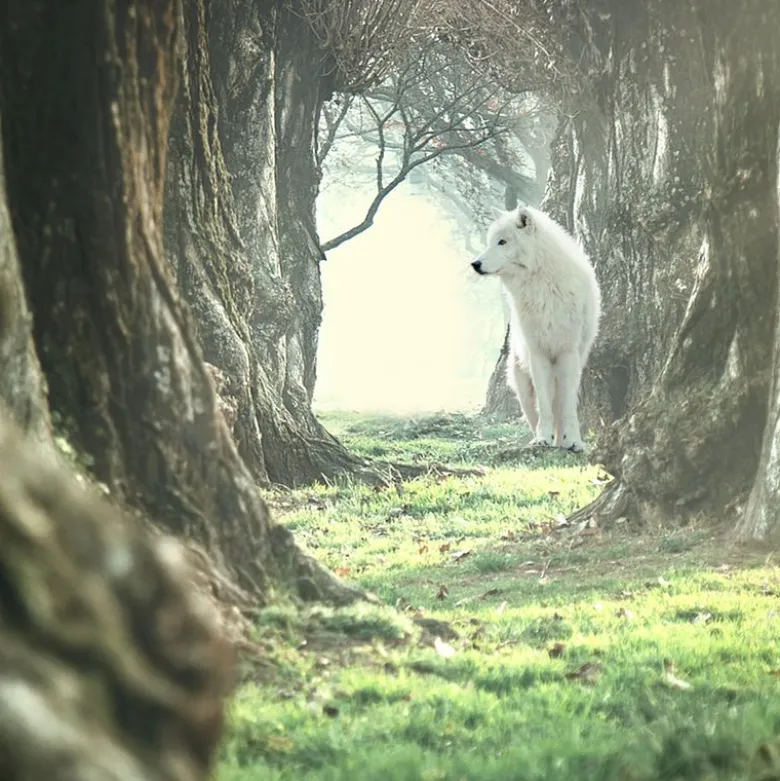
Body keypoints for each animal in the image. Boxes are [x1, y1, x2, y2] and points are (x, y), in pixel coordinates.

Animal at [471, 204, 601, 453]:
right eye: (490, 241)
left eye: (502, 242)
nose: (475, 264)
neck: (540, 285)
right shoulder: (538, 353)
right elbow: (544, 405)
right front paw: (543, 438)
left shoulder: (567, 353)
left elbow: (568, 407)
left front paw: (574, 440)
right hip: (522, 385)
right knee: (535, 412)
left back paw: (562, 440)